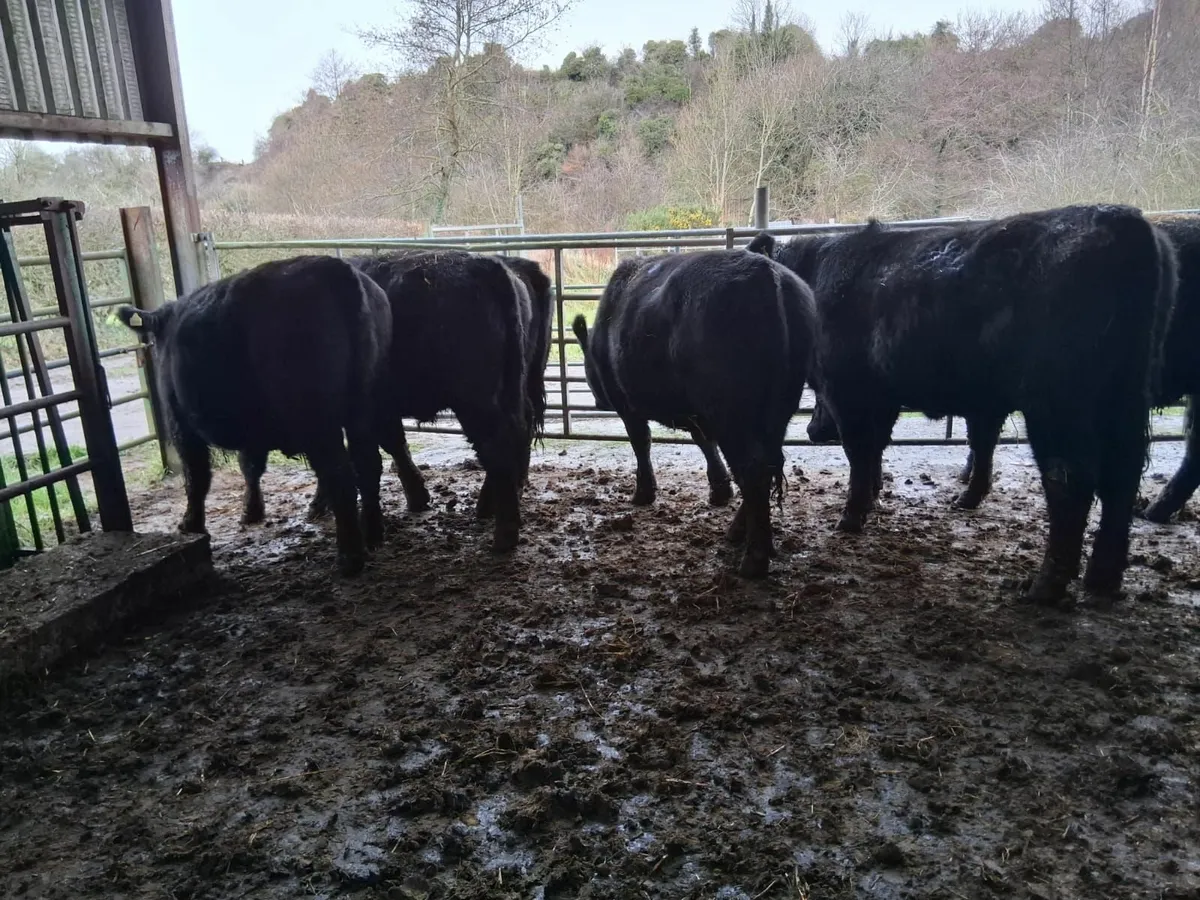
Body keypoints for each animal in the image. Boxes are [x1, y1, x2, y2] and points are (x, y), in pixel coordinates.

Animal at [116, 255, 393, 576]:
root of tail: (334, 268)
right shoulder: (252, 430)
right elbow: (250, 466)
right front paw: (251, 510)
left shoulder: (180, 423)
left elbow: (196, 476)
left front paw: (191, 525)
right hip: (364, 405)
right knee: (368, 464)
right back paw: (373, 534)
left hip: (316, 419)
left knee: (341, 475)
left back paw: (349, 557)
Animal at [571, 249, 815, 578]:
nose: (598, 403)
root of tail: (767, 274)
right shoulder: (697, 414)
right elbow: (703, 442)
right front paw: (719, 489)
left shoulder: (628, 406)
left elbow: (641, 442)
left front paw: (644, 492)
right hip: (777, 411)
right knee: (768, 462)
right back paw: (740, 531)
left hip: (731, 413)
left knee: (753, 469)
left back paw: (754, 556)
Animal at [748, 204, 1178, 603]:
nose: (813, 431)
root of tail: (1120, 218)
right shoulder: (882, 396)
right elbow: (876, 450)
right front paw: (870, 497)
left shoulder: (847, 390)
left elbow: (858, 450)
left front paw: (852, 516)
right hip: (1125, 397)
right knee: (1123, 475)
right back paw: (1103, 578)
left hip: (1057, 402)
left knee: (1071, 478)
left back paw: (1045, 586)